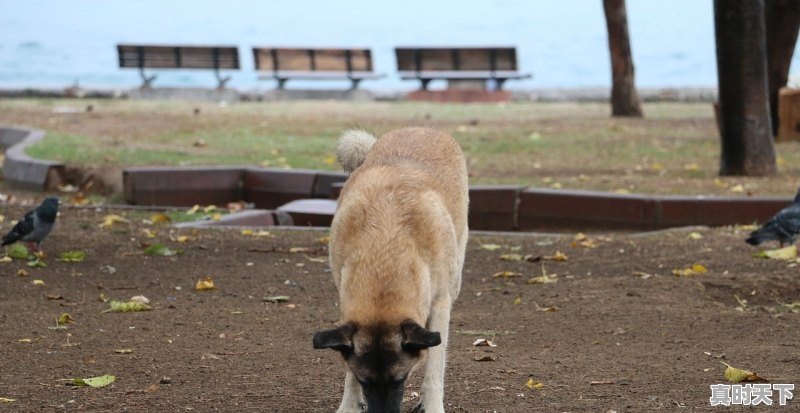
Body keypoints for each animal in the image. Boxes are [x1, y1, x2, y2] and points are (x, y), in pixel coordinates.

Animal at [312, 126, 468, 412]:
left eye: (400, 379)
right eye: (365, 380)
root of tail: (420, 128)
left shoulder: (440, 306)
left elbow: (434, 366)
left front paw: (432, 405)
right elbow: (348, 367)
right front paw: (349, 405)